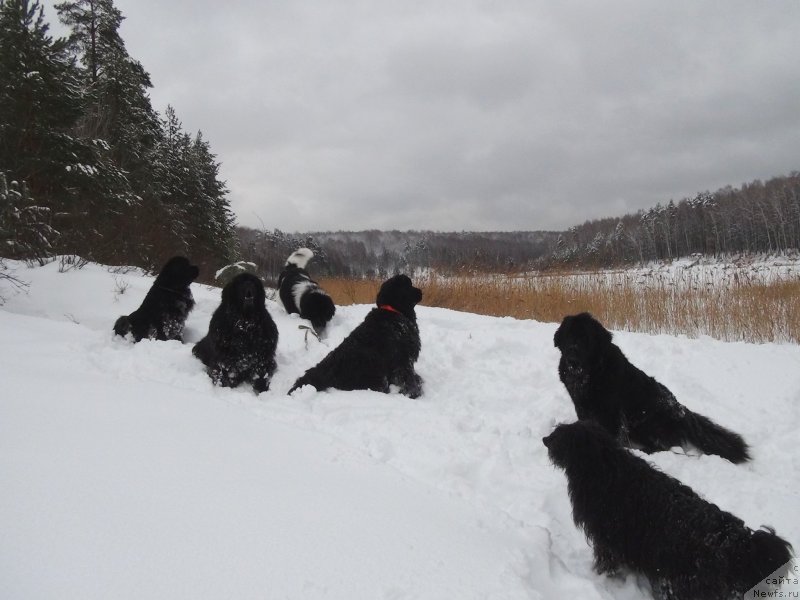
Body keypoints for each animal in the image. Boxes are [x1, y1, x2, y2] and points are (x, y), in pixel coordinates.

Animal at [290, 276, 424, 398]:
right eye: (409, 285)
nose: (420, 291)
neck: (393, 310)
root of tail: (322, 372)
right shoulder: (403, 360)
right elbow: (408, 378)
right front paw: (414, 392)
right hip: (375, 374)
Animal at [556, 314, 752, 464]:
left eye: (585, 339)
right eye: (568, 336)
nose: (572, 358)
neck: (590, 374)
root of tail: (683, 411)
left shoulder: (612, 413)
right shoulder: (582, 406)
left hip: (647, 421)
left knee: (661, 446)